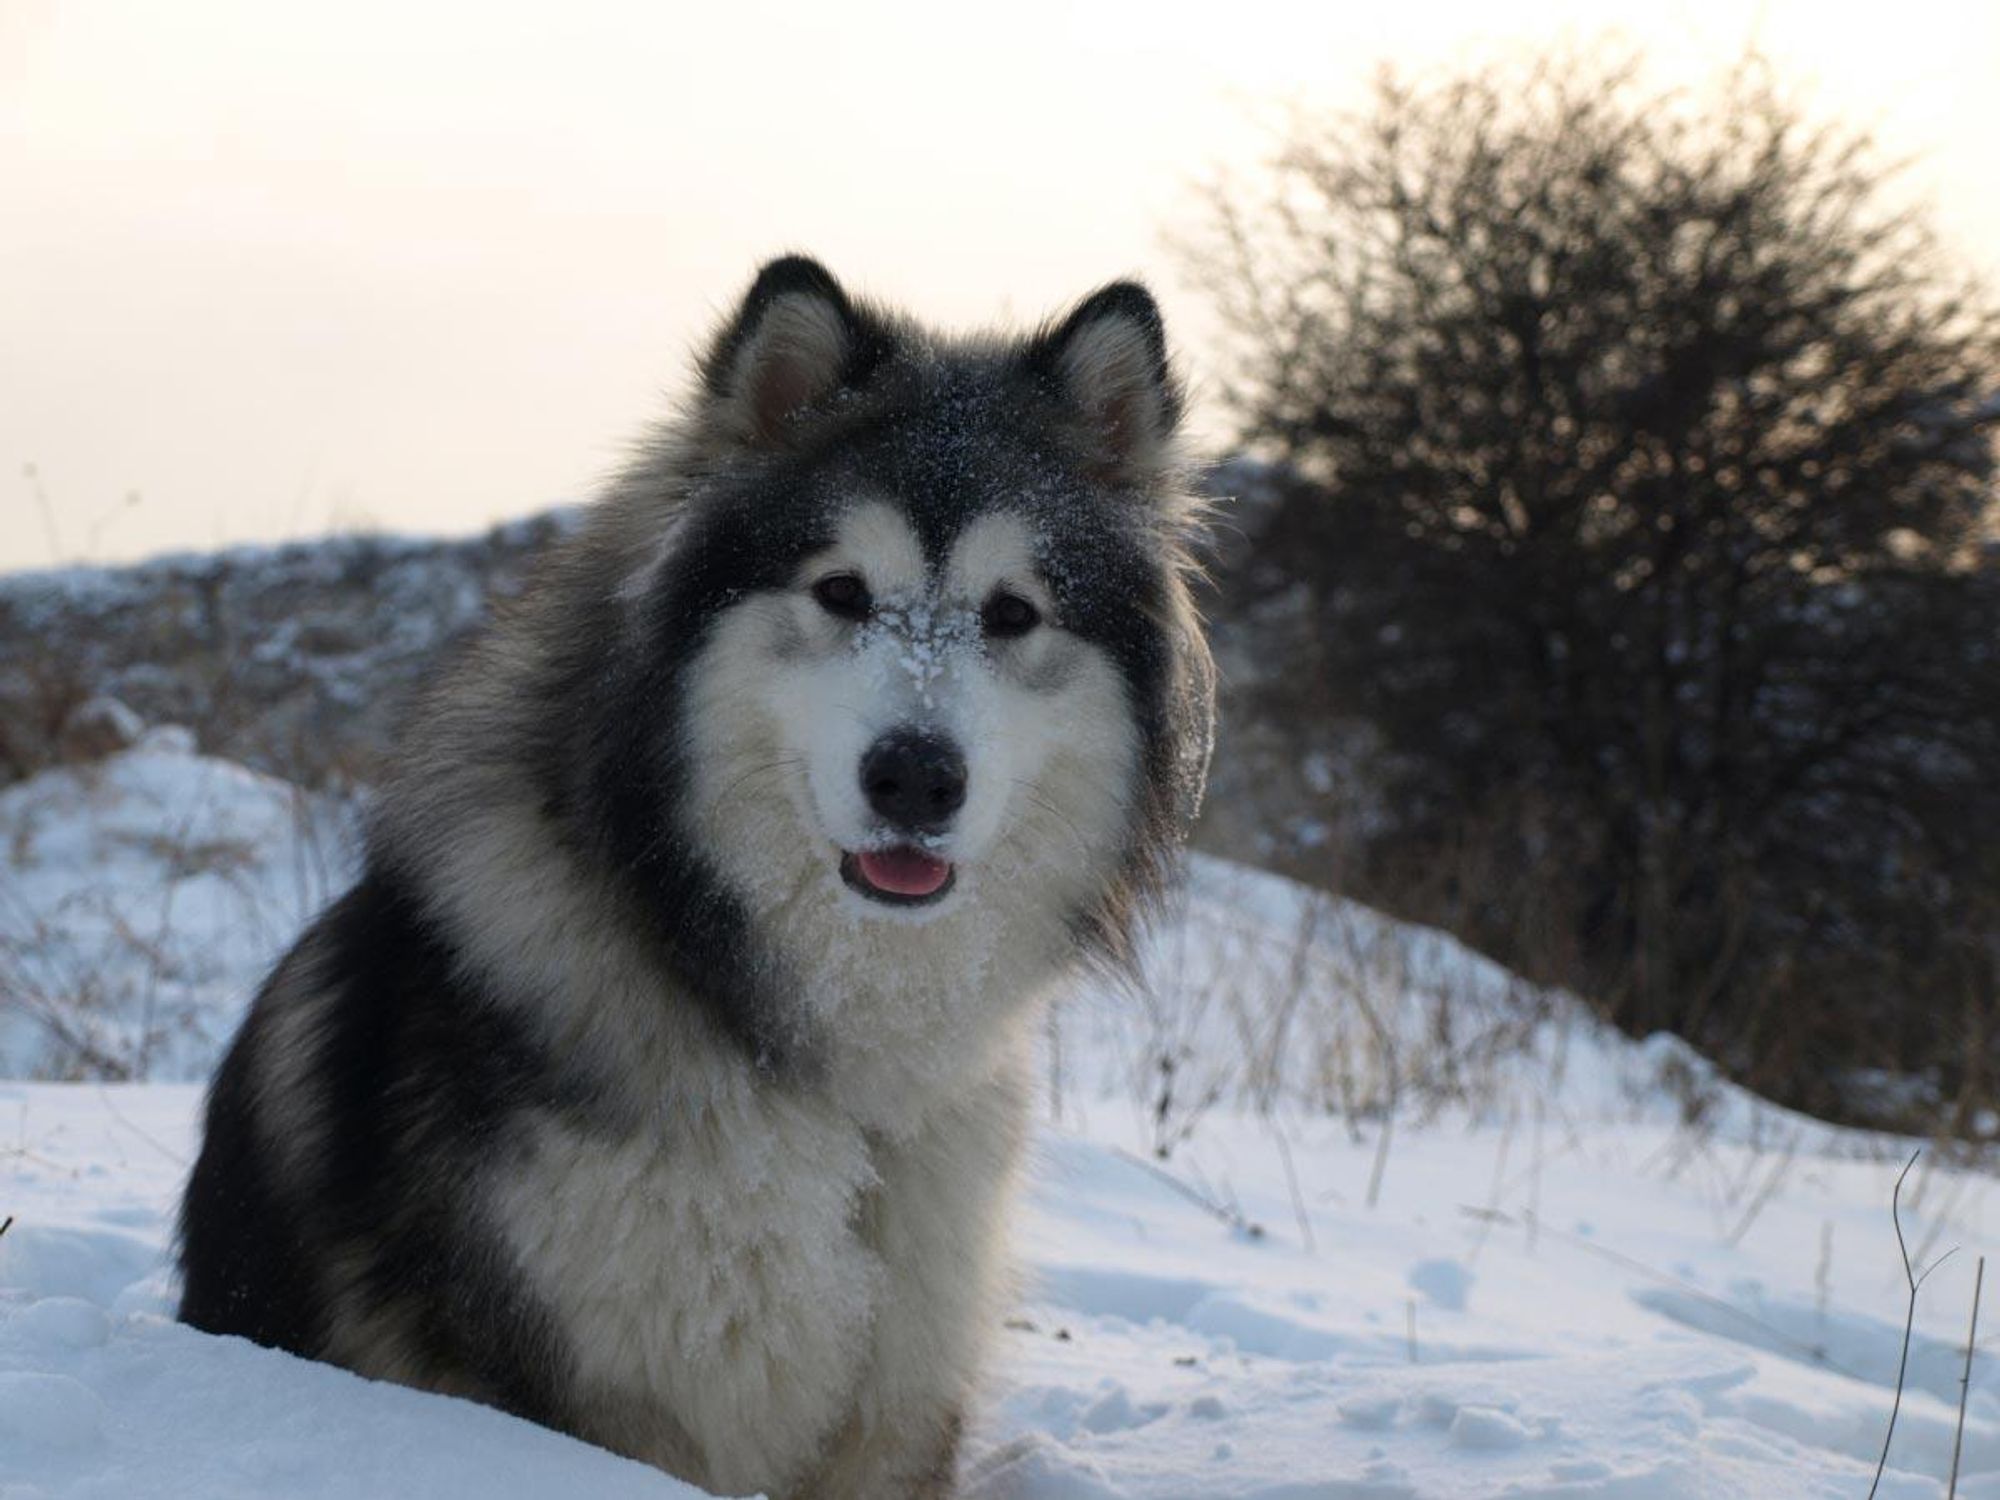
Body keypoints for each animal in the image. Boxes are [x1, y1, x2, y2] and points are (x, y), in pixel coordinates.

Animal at [180, 258, 1216, 1500]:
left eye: (1013, 612)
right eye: (840, 592)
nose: (915, 777)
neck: (820, 1079)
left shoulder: (898, 1398)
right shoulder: (617, 1400)